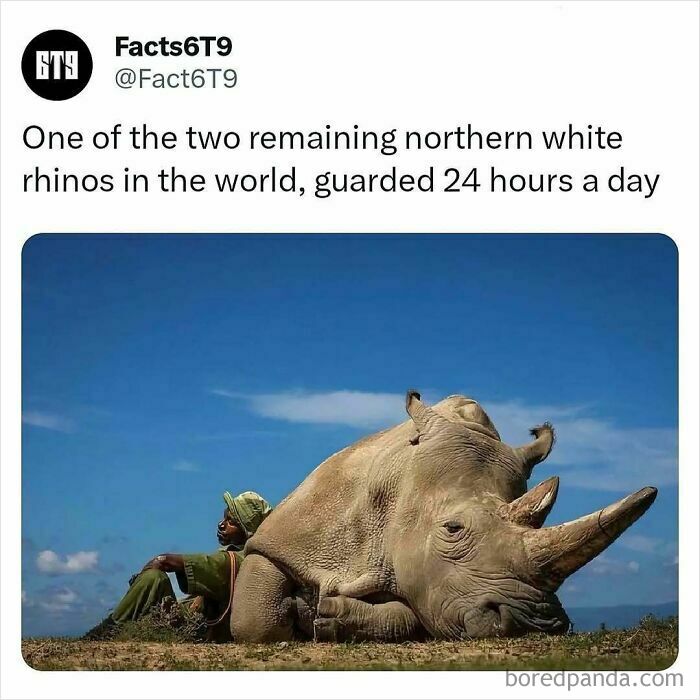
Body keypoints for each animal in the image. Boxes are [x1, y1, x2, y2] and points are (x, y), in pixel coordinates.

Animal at [231, 391, 657, 641]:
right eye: (453, 529)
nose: (534, 622)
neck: (398, 485)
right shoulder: (289, 534)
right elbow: (255, 619)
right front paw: (302, 614)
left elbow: (411, 614)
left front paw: (326, 617)